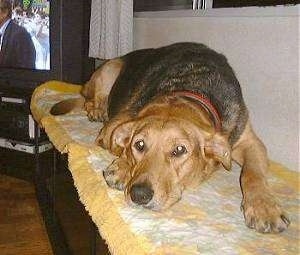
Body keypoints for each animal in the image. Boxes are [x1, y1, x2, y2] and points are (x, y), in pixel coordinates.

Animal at [52, 42, 290, 233]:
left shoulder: (251, 143)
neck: (191, 91)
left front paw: (263, 207)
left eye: (179, 150)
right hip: (110, 69)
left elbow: (252, 174)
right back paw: (97, 110)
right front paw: (122, 167)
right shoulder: (112, 129)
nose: (139, 195)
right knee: (90, 101)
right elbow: (122, 146)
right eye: (139, 145)